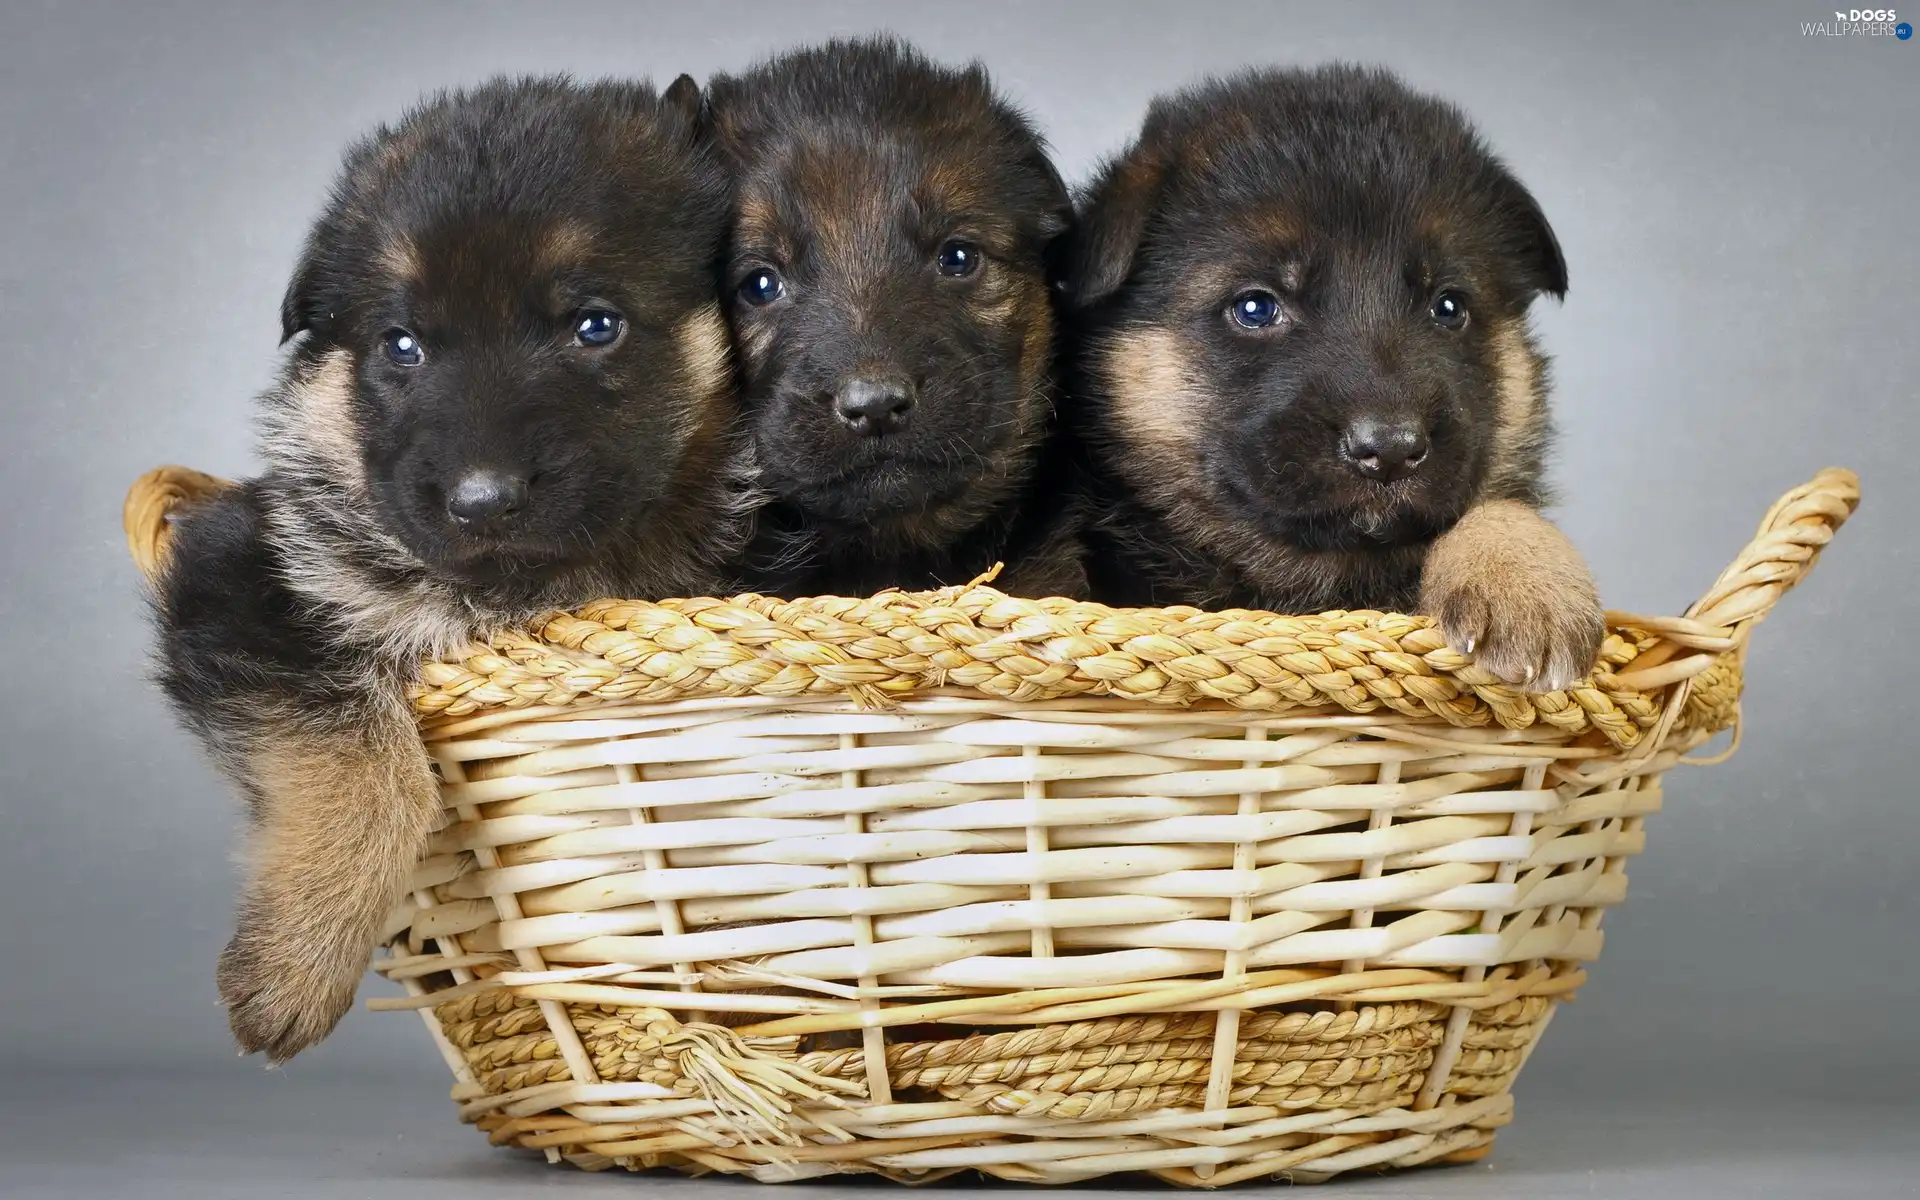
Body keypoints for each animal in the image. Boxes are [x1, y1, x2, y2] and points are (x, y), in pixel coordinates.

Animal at [147, 79, 733, 1059]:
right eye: (402, 345)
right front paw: (295, 967)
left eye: (595, 326)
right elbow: (363, 765)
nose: (482, 501)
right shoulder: (242, 567)